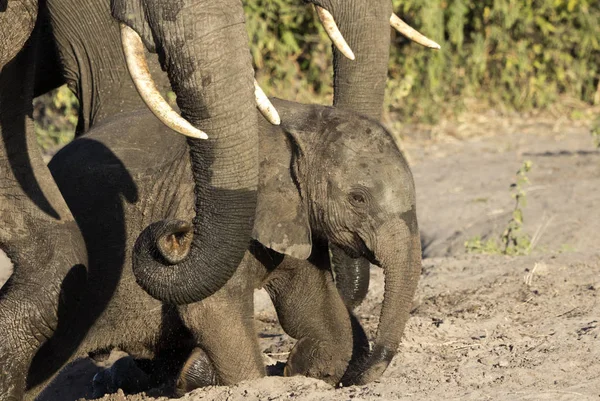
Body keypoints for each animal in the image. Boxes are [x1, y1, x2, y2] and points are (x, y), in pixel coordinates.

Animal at [47, 99, 420, 394]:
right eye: (358, 198)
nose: (358, 381)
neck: (293, 121)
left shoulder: (294, 217)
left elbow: (314, 303)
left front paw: (299, 371)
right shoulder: (196, 208)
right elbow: (212, 308)